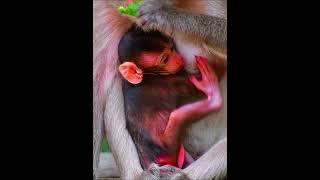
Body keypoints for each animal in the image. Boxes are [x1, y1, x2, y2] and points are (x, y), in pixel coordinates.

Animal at [118, 24, 222, 169]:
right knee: (177, 117)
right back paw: (213, 96)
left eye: (172, 47)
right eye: (165, 59)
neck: (149, 75)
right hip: (169, 147)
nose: (179, 58)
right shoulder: (171, 82)